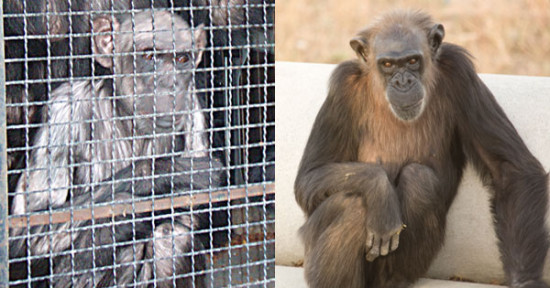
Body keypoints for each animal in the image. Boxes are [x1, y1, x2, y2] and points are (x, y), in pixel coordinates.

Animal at [9, 9, 224, 288]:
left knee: (171, 238)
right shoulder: (61, 112)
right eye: (149, 56)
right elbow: (26, 230)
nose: (170, 84)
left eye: (182, 58)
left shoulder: (194, 109)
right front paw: (162, 176)